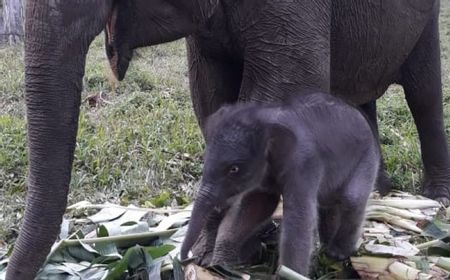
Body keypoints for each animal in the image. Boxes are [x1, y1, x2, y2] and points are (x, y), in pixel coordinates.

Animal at [179, 91, 380, 274]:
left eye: (234, 169)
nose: (187, 259)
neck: (268, 118)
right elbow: (257, 206)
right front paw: (220, 264)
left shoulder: (304, 164)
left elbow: (299, 220)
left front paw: (289, 274)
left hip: (367, 159)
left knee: (352, 198)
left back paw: (337, 253)